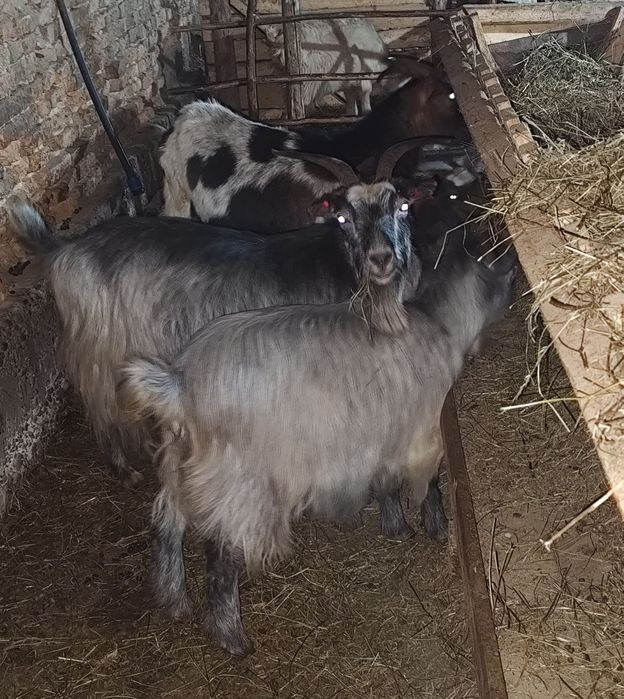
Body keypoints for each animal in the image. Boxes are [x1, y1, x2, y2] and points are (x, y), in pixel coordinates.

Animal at [9, 145, 434, 493]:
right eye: (343, 218)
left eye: (403, 207)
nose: (381, 258)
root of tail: (66, 249)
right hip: (98, 346)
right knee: (100, 406)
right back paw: (125, 468)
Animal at [117, 230, 518, 656]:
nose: (514, 260)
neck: (438, 319)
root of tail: (177, 383)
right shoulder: (422, 434)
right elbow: (430, 486)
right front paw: (436, 527)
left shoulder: (382, 435)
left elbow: (386, 482)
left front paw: (396, 526)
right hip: (240, 485)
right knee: (220, 556)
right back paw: (232, 638)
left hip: (180, 464)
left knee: (166, 525)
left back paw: (173, 600)